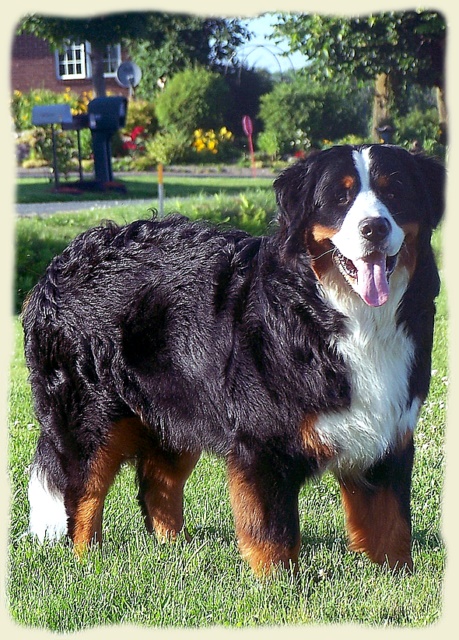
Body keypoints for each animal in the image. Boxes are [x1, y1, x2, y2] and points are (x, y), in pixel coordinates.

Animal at [22, 144, 446, 576]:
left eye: (393, 192)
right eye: (340, 199)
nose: (374, 228)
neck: (342, 315)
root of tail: (61, 261)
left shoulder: (388, 434)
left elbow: (390, 523)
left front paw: (398, 576)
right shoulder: (262, 442)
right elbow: (273, 531)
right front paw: (280, 583)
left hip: (178, 403)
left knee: (158, 482)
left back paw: (177, 550)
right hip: (91, 417)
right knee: (83, 492)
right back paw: (86, 560)